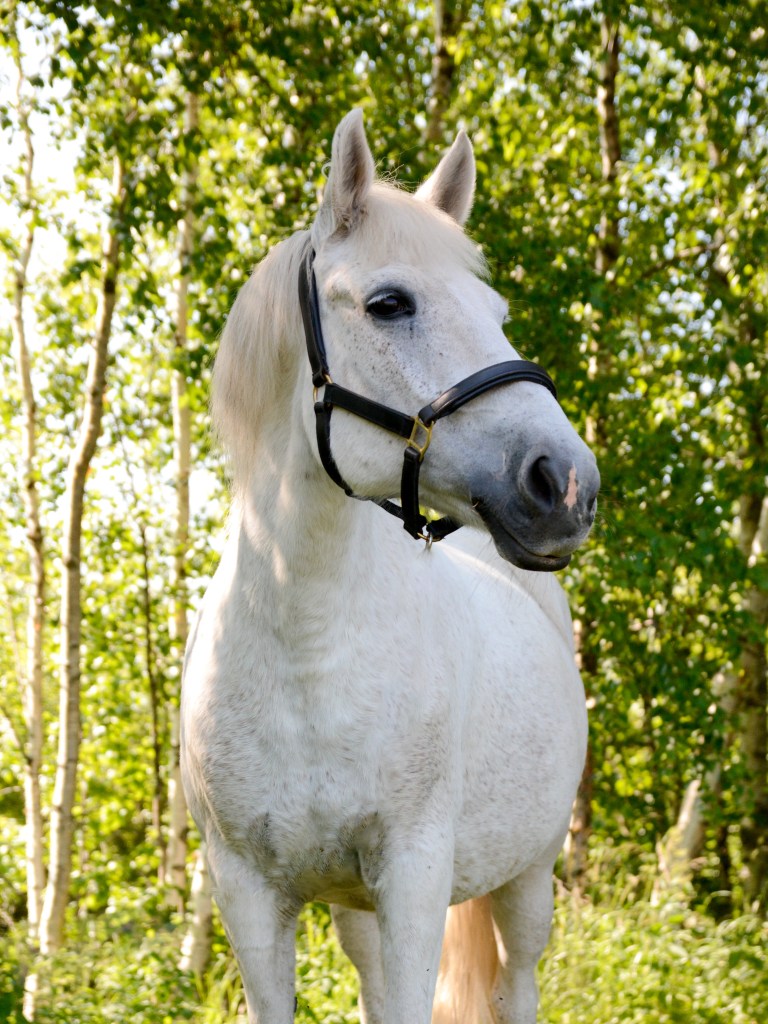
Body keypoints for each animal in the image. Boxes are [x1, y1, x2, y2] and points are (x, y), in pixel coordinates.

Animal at [180, 109, 599, 1024]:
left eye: (496, 309)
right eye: (388, 303)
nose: (566, 484)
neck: (308, 650)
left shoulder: (414, 880)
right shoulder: (250, 896)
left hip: (527, 880)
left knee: (516, 987)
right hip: (357, 908)